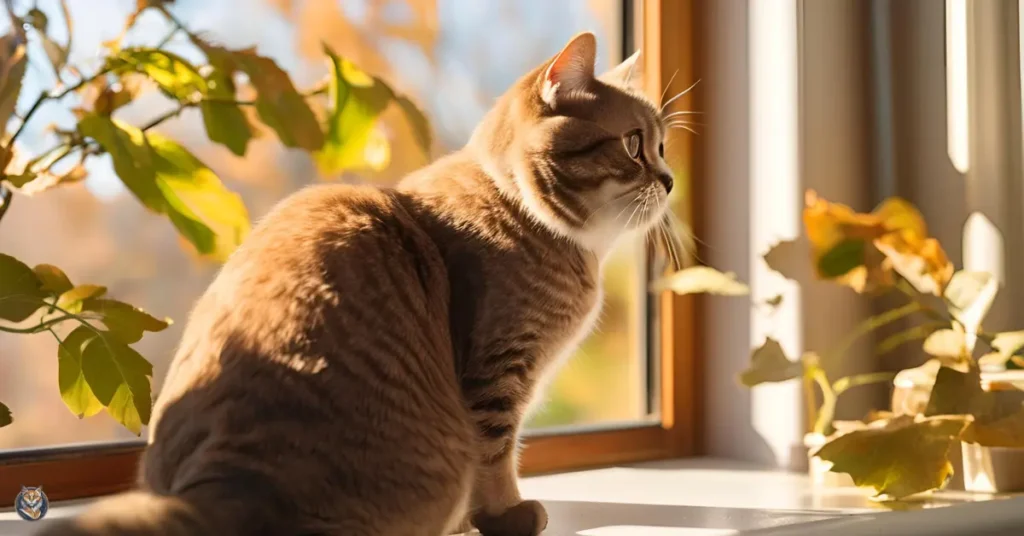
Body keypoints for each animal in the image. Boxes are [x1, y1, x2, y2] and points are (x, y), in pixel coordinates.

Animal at [39, 32, 675, 536]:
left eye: (663, 146)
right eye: (634, 145)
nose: (670, 179)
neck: (526, 213)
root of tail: (222, 478)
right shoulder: (496, 377)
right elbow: (496, 461)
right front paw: (507, 517)